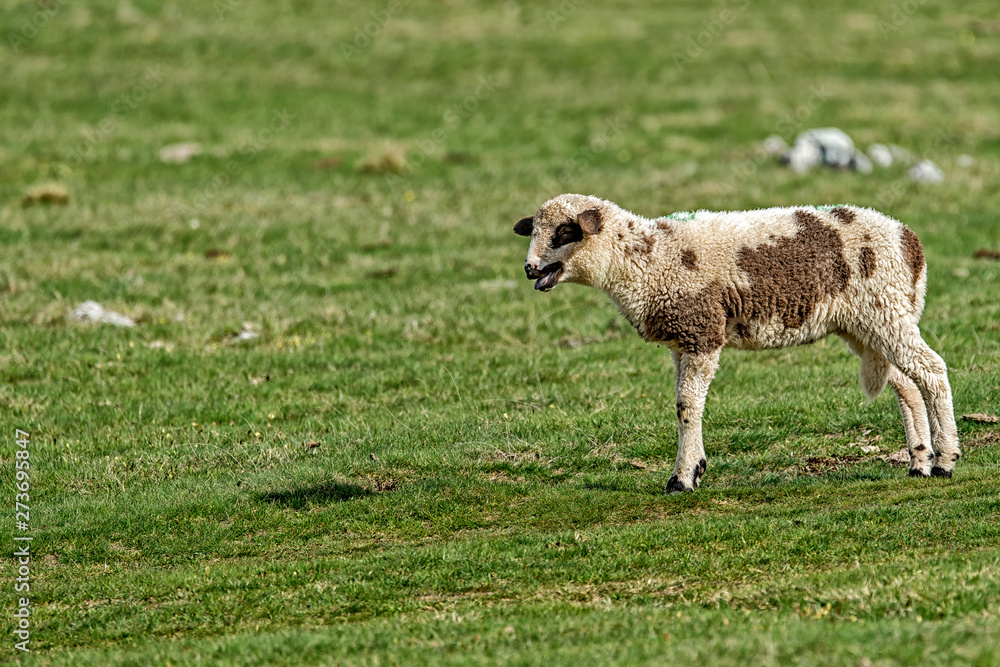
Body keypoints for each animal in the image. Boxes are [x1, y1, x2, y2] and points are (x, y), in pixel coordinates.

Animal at [513, 193, 960, 492]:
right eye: (532, 231)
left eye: (565, 231)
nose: (529, 268)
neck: (647, 258)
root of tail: (909, 241)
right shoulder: (681, 340)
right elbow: (686, 405)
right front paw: (694, 467)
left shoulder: (702, 332)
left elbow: (686, 406)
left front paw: (683, 478)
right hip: (869, 322)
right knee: (907, 385)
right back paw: (920, 461)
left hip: (884, 307)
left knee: (932, 370)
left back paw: (946, 459)